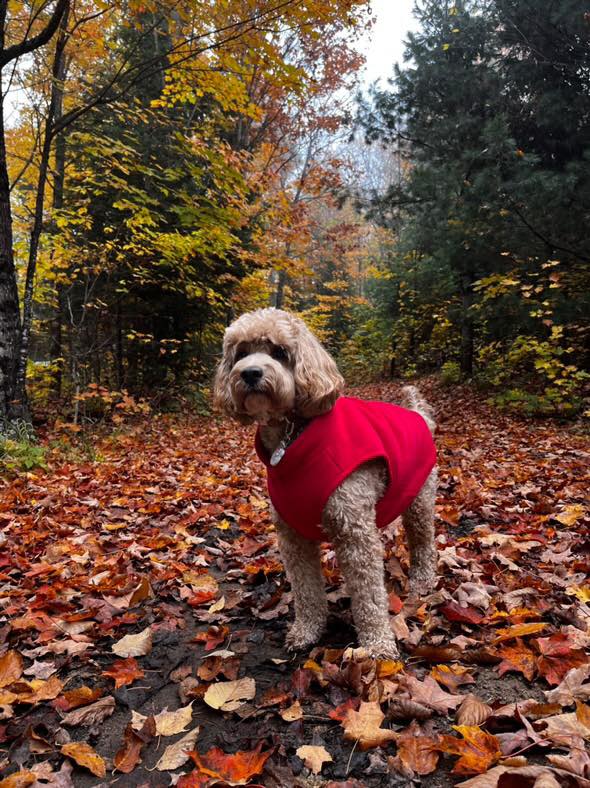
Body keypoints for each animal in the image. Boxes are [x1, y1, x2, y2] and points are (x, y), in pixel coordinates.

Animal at [214, 308, 440, 660]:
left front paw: (377, 645)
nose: (250, 373)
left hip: (418, 499)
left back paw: (422, 581)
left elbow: (369, 597)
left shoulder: (355, 532)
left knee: (424, 543)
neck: (293, 436)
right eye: (240, 353)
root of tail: (418, 415)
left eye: (280, 352)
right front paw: (307, 631)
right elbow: (306, 590)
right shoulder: (292, 537)